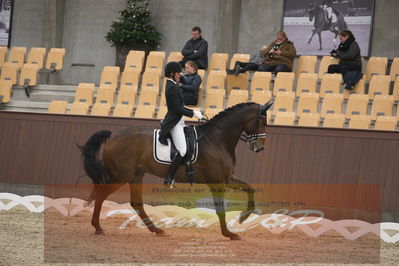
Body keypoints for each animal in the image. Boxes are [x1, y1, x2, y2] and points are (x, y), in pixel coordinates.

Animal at [81, 101, 276, 240]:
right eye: (263, 122)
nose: (259, 148)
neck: (217, 139)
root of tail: (112, 135)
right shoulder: (217, 182)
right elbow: (220, 208)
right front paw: (229, 234)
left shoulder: (227, 179)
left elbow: (250, 188)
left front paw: (244, 216)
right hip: (120, 176)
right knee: (100, 196)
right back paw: (98, 227)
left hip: (136, 175)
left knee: (136, 203)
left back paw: (157, 230)